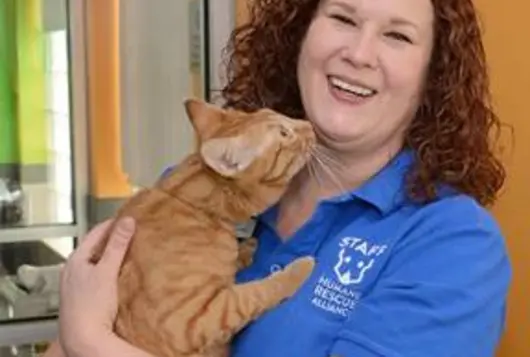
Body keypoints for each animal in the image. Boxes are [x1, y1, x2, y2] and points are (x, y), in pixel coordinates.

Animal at [91, 97, 316, 356]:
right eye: (284, 133)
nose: (310, 126)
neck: (197, 206)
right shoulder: (194, 320)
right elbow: (256, 293)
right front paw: (299, 269)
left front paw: (244, 250)